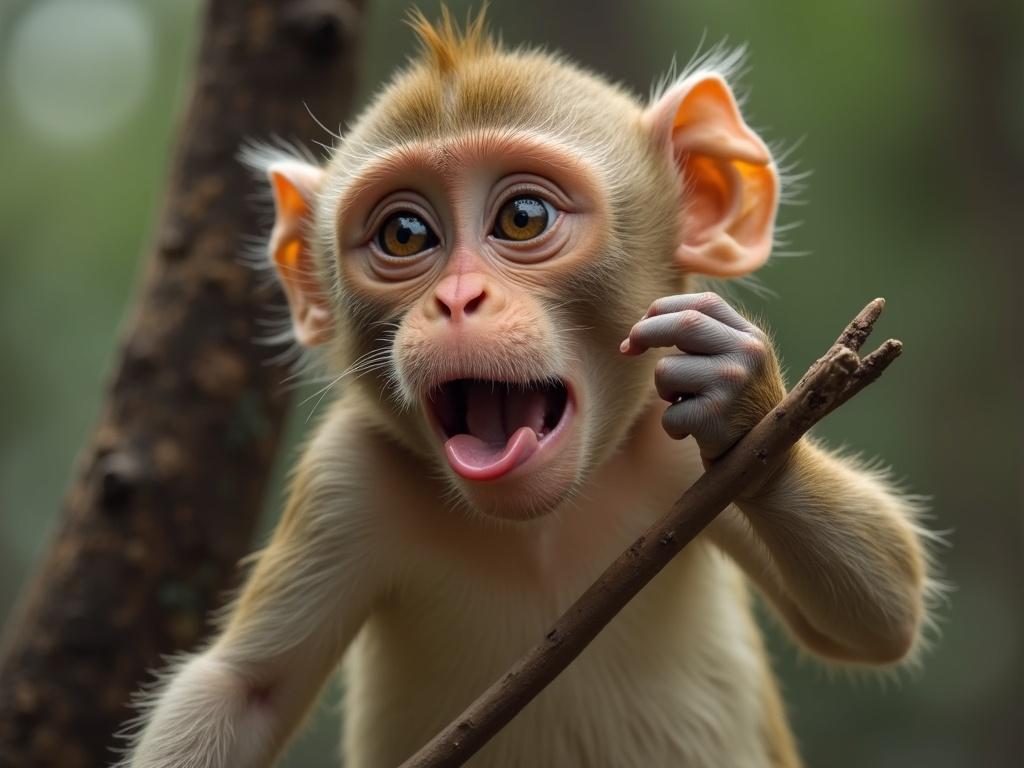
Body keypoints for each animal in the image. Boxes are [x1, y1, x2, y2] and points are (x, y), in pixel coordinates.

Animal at [122, 10, 938, 768]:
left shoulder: (664, 446)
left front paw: (739, 398)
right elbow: (243, 689)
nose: (458, 301)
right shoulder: (345, 477)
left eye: (522, 217)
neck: (537, 528)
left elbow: (878, 612)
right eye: (405, 235)